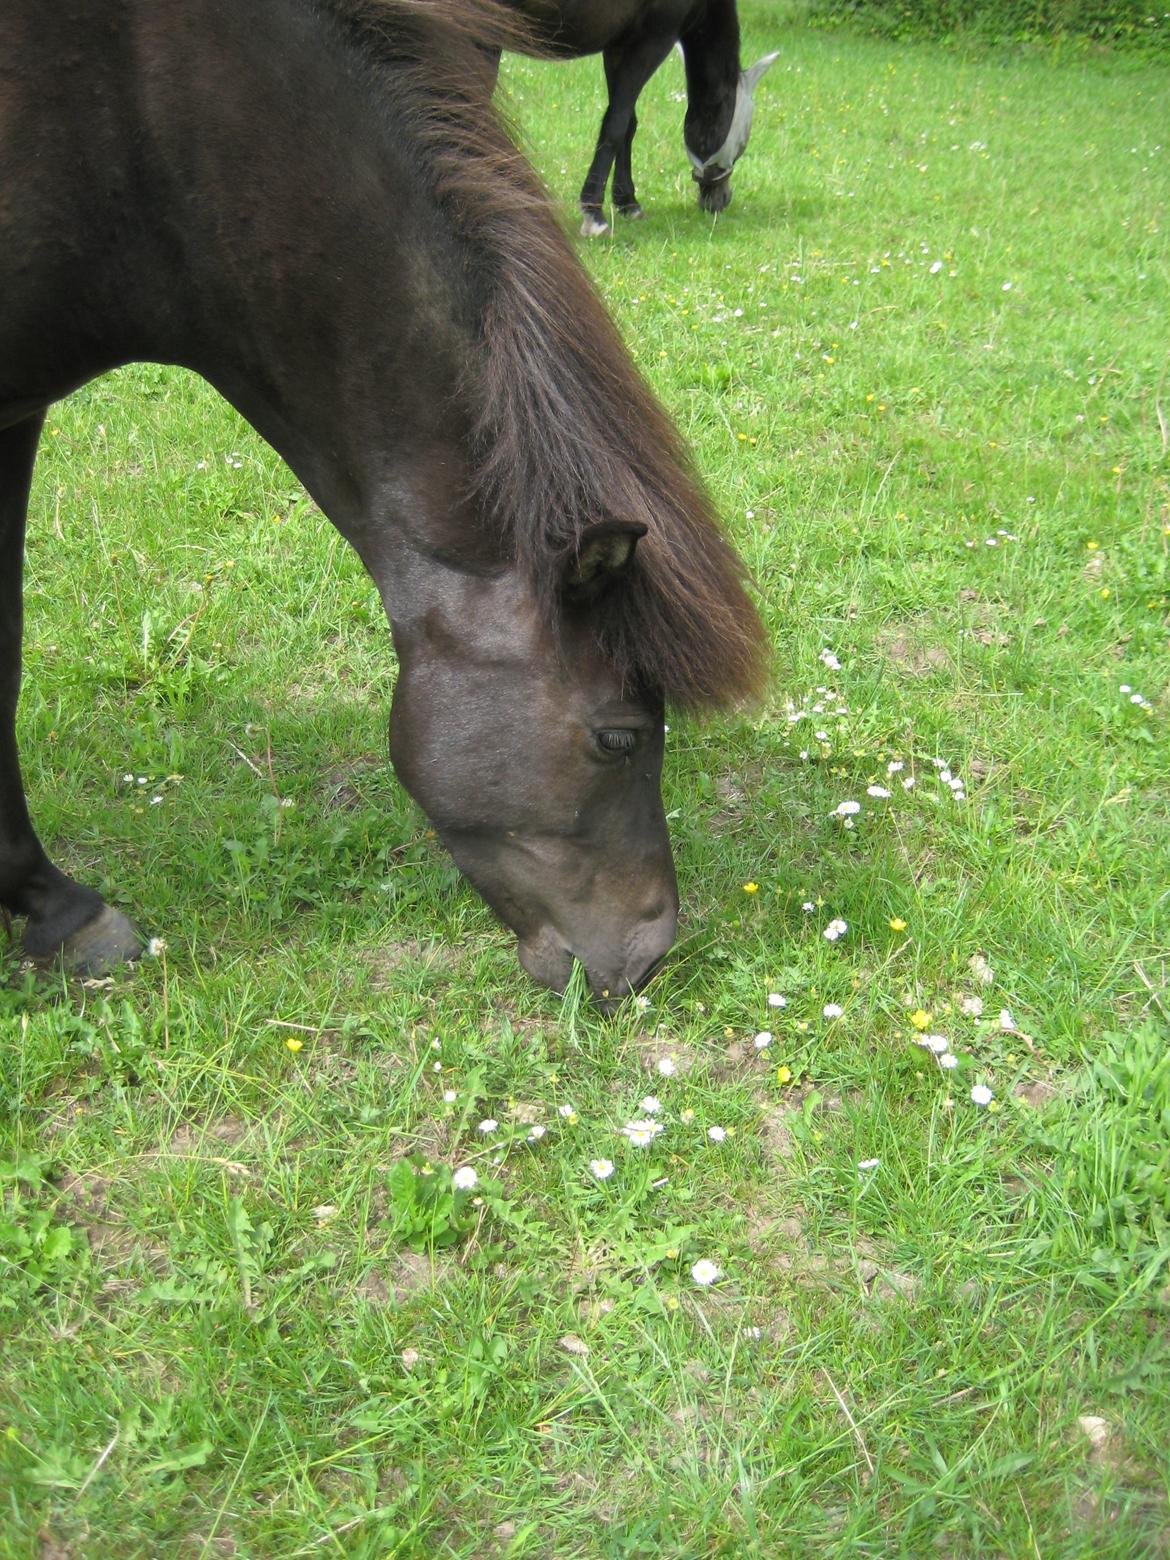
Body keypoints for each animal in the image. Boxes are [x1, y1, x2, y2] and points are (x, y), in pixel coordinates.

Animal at [496, 0, 780, 233]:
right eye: (743, 143)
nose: (722, 199)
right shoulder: (653, 40)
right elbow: (616, 124)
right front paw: (594, 213)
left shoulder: (618, 46)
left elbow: (627, 125)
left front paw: (627, 202)